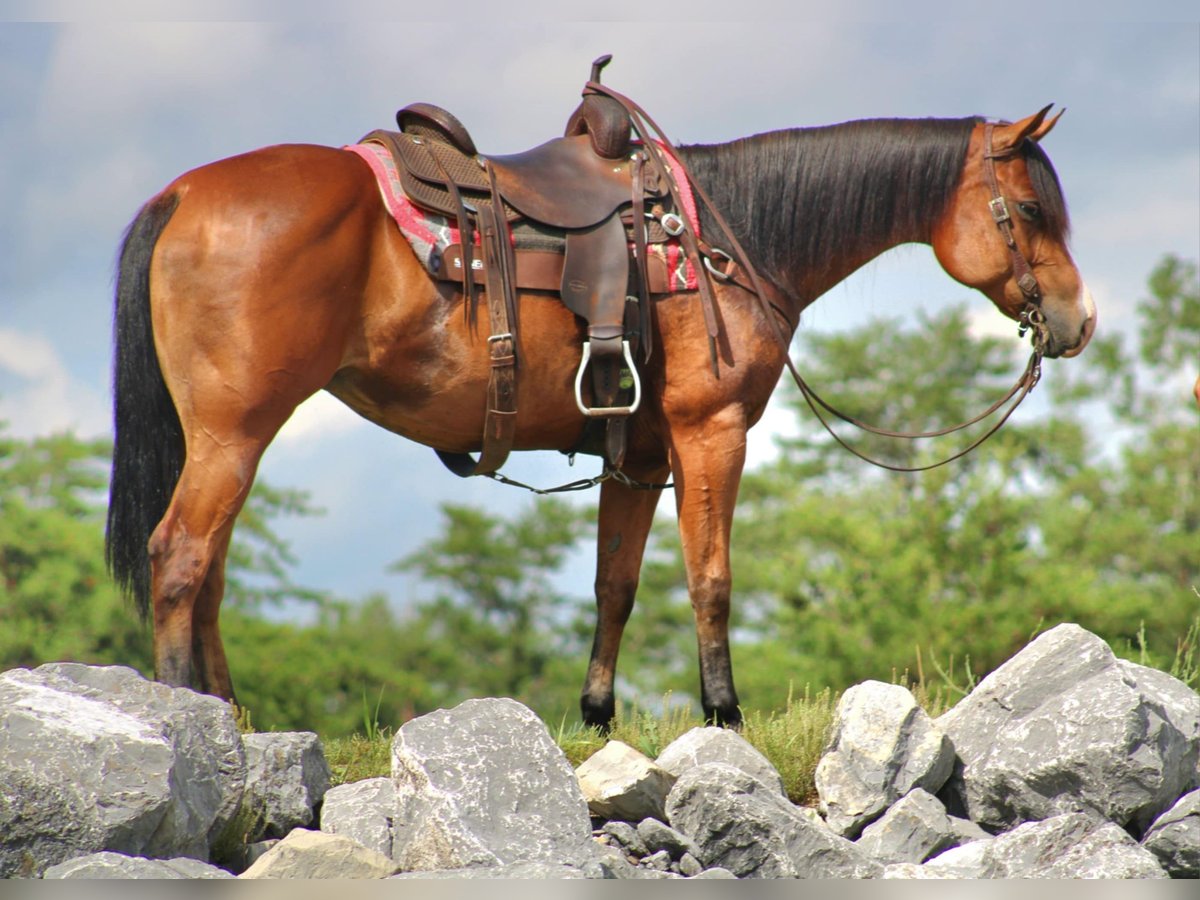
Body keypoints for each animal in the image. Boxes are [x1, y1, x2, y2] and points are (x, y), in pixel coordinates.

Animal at [105, 96, 1096, 729]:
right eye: (1030, 208)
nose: (1080, 320)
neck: (728, 238)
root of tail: (184, 194)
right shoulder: (709, 432)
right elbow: (711, 578)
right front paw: (724, 714)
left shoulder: (641, 454)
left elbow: (614, 585)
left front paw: (596, 716)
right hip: (233, 433)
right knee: (180, 559)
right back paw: (195, 718)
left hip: (228, 439)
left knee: (209, 574)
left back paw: (230, 711)